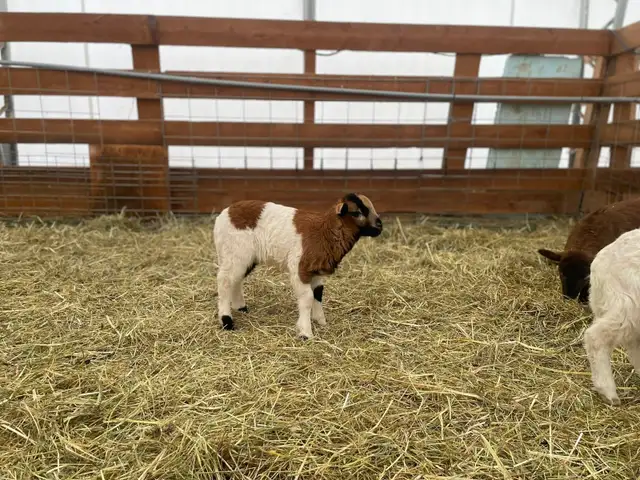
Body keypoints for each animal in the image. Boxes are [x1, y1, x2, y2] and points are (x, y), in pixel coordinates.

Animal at [212, 193, 383, 339]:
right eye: (357, 213)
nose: (380, 226)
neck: (324, 232)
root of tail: (223, 215)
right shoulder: (300, 268)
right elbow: (307, 298)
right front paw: (305, 333)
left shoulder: (316, 270)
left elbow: (318, 293)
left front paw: (321, 321)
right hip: (235, 252)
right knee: (224, 281)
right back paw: (227, 321)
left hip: (244, 257)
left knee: (236, 280)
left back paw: (241, 307)